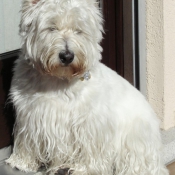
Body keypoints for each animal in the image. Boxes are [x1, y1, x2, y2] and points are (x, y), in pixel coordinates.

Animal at [6, 0, 168, 175]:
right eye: (51, 27)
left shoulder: (90, 123)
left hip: (136, 137)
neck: (58, 79)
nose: (67, 56)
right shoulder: (30, 114)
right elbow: (27, 139)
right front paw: (22, 162)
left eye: (79, 30)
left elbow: (89, 148)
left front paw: (84, 169)